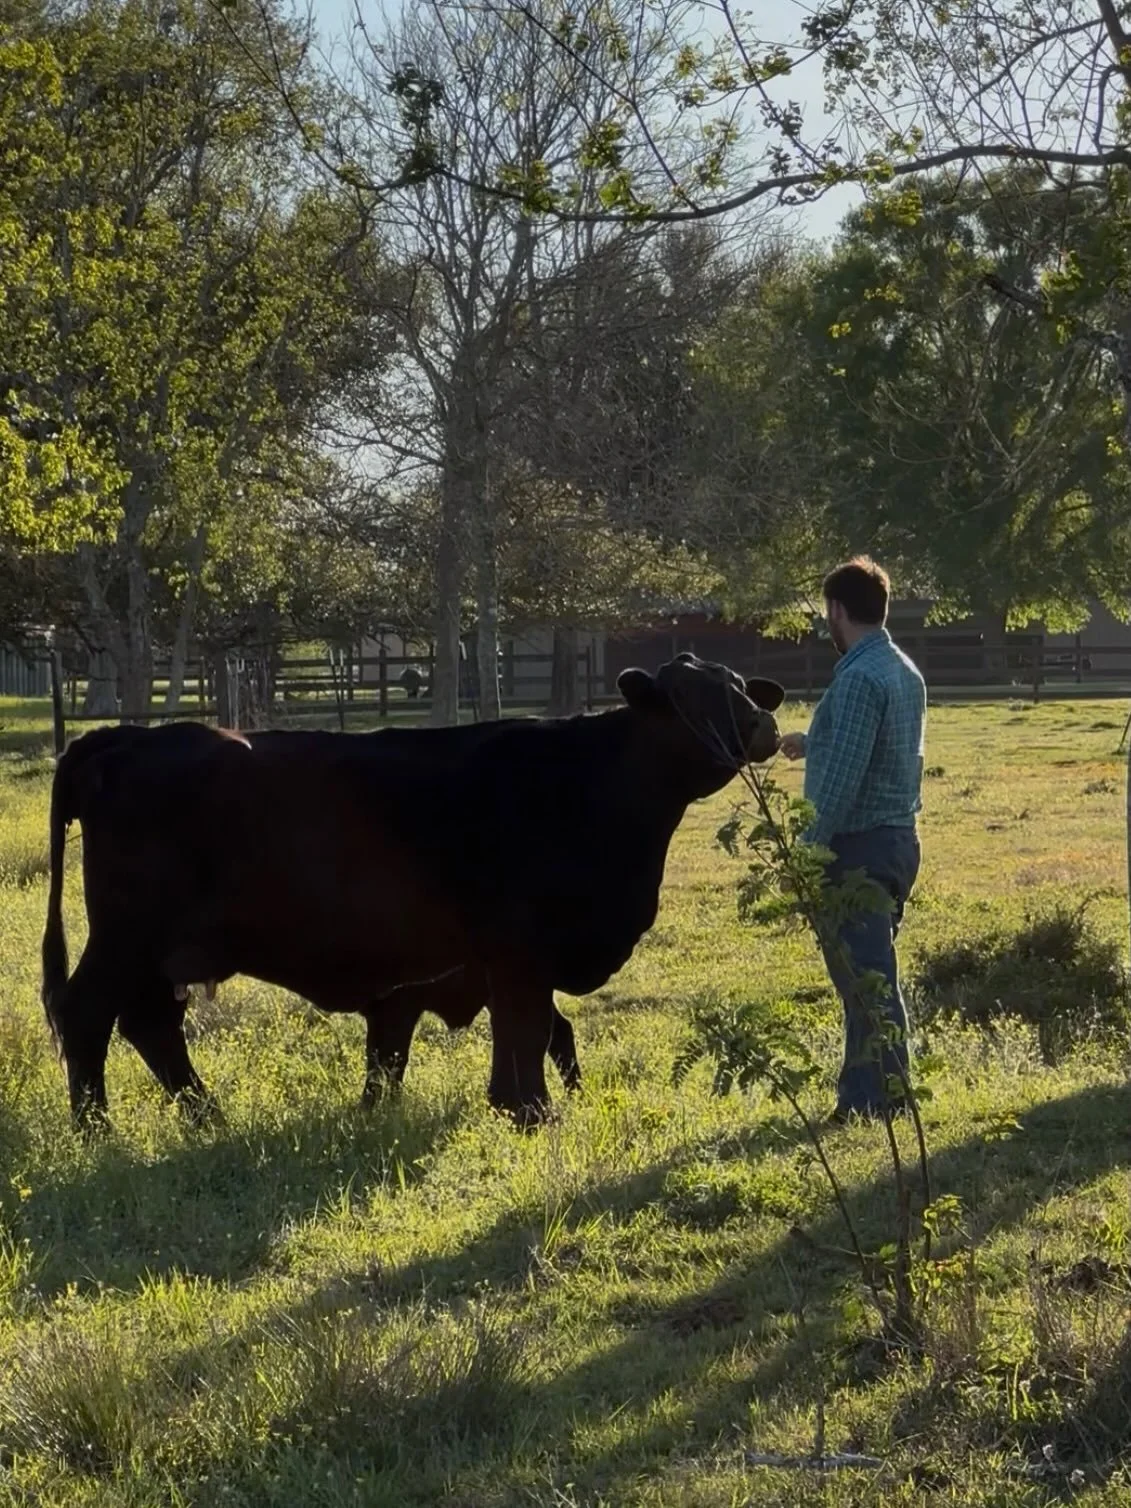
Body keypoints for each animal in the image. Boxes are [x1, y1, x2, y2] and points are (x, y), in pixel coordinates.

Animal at [41, 653, 784, 1133]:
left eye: (742, 690)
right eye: (688, 696)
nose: (763, 727)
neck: (593, 783)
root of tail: (122, 737)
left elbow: (520, 1032)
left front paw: (521, 1106)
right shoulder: (519, 951)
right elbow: (527, 1028)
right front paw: (531, 1111)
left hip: (157, 954)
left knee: (151, 1027)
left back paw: (207, 1115)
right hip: (126, 939)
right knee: (90, 1015)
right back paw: (96, 1130)